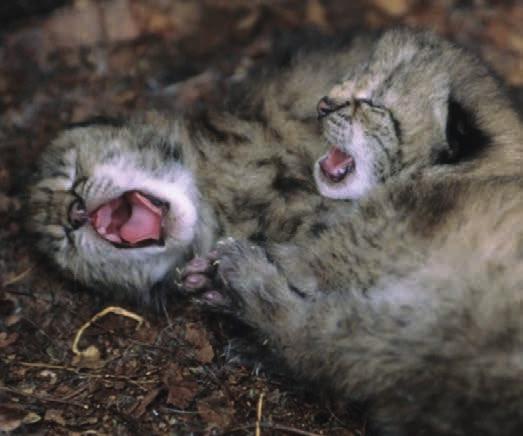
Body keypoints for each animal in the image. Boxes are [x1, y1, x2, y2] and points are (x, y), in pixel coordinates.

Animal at [185, 29, 523, 434]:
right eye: (352, 78)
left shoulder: (362, 244)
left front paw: (217, 268)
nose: (322, 105)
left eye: (372, 103)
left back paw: (240, 279)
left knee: (319, 340)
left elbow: (299, 257)